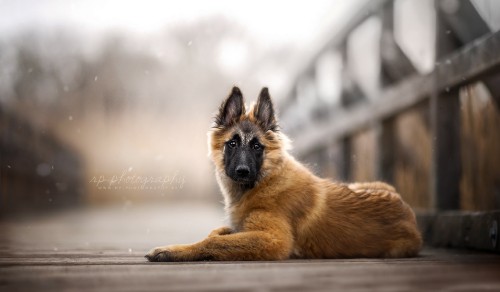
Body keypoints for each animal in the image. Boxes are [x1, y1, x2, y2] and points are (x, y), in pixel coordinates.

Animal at [145, 85, 422, 262]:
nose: (243, 171)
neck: (264, 182)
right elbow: (220, 233)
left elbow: (214, 241)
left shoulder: (274, 239)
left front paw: (172, 250)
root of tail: (409, 214)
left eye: (257, 146)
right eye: (232, 143)